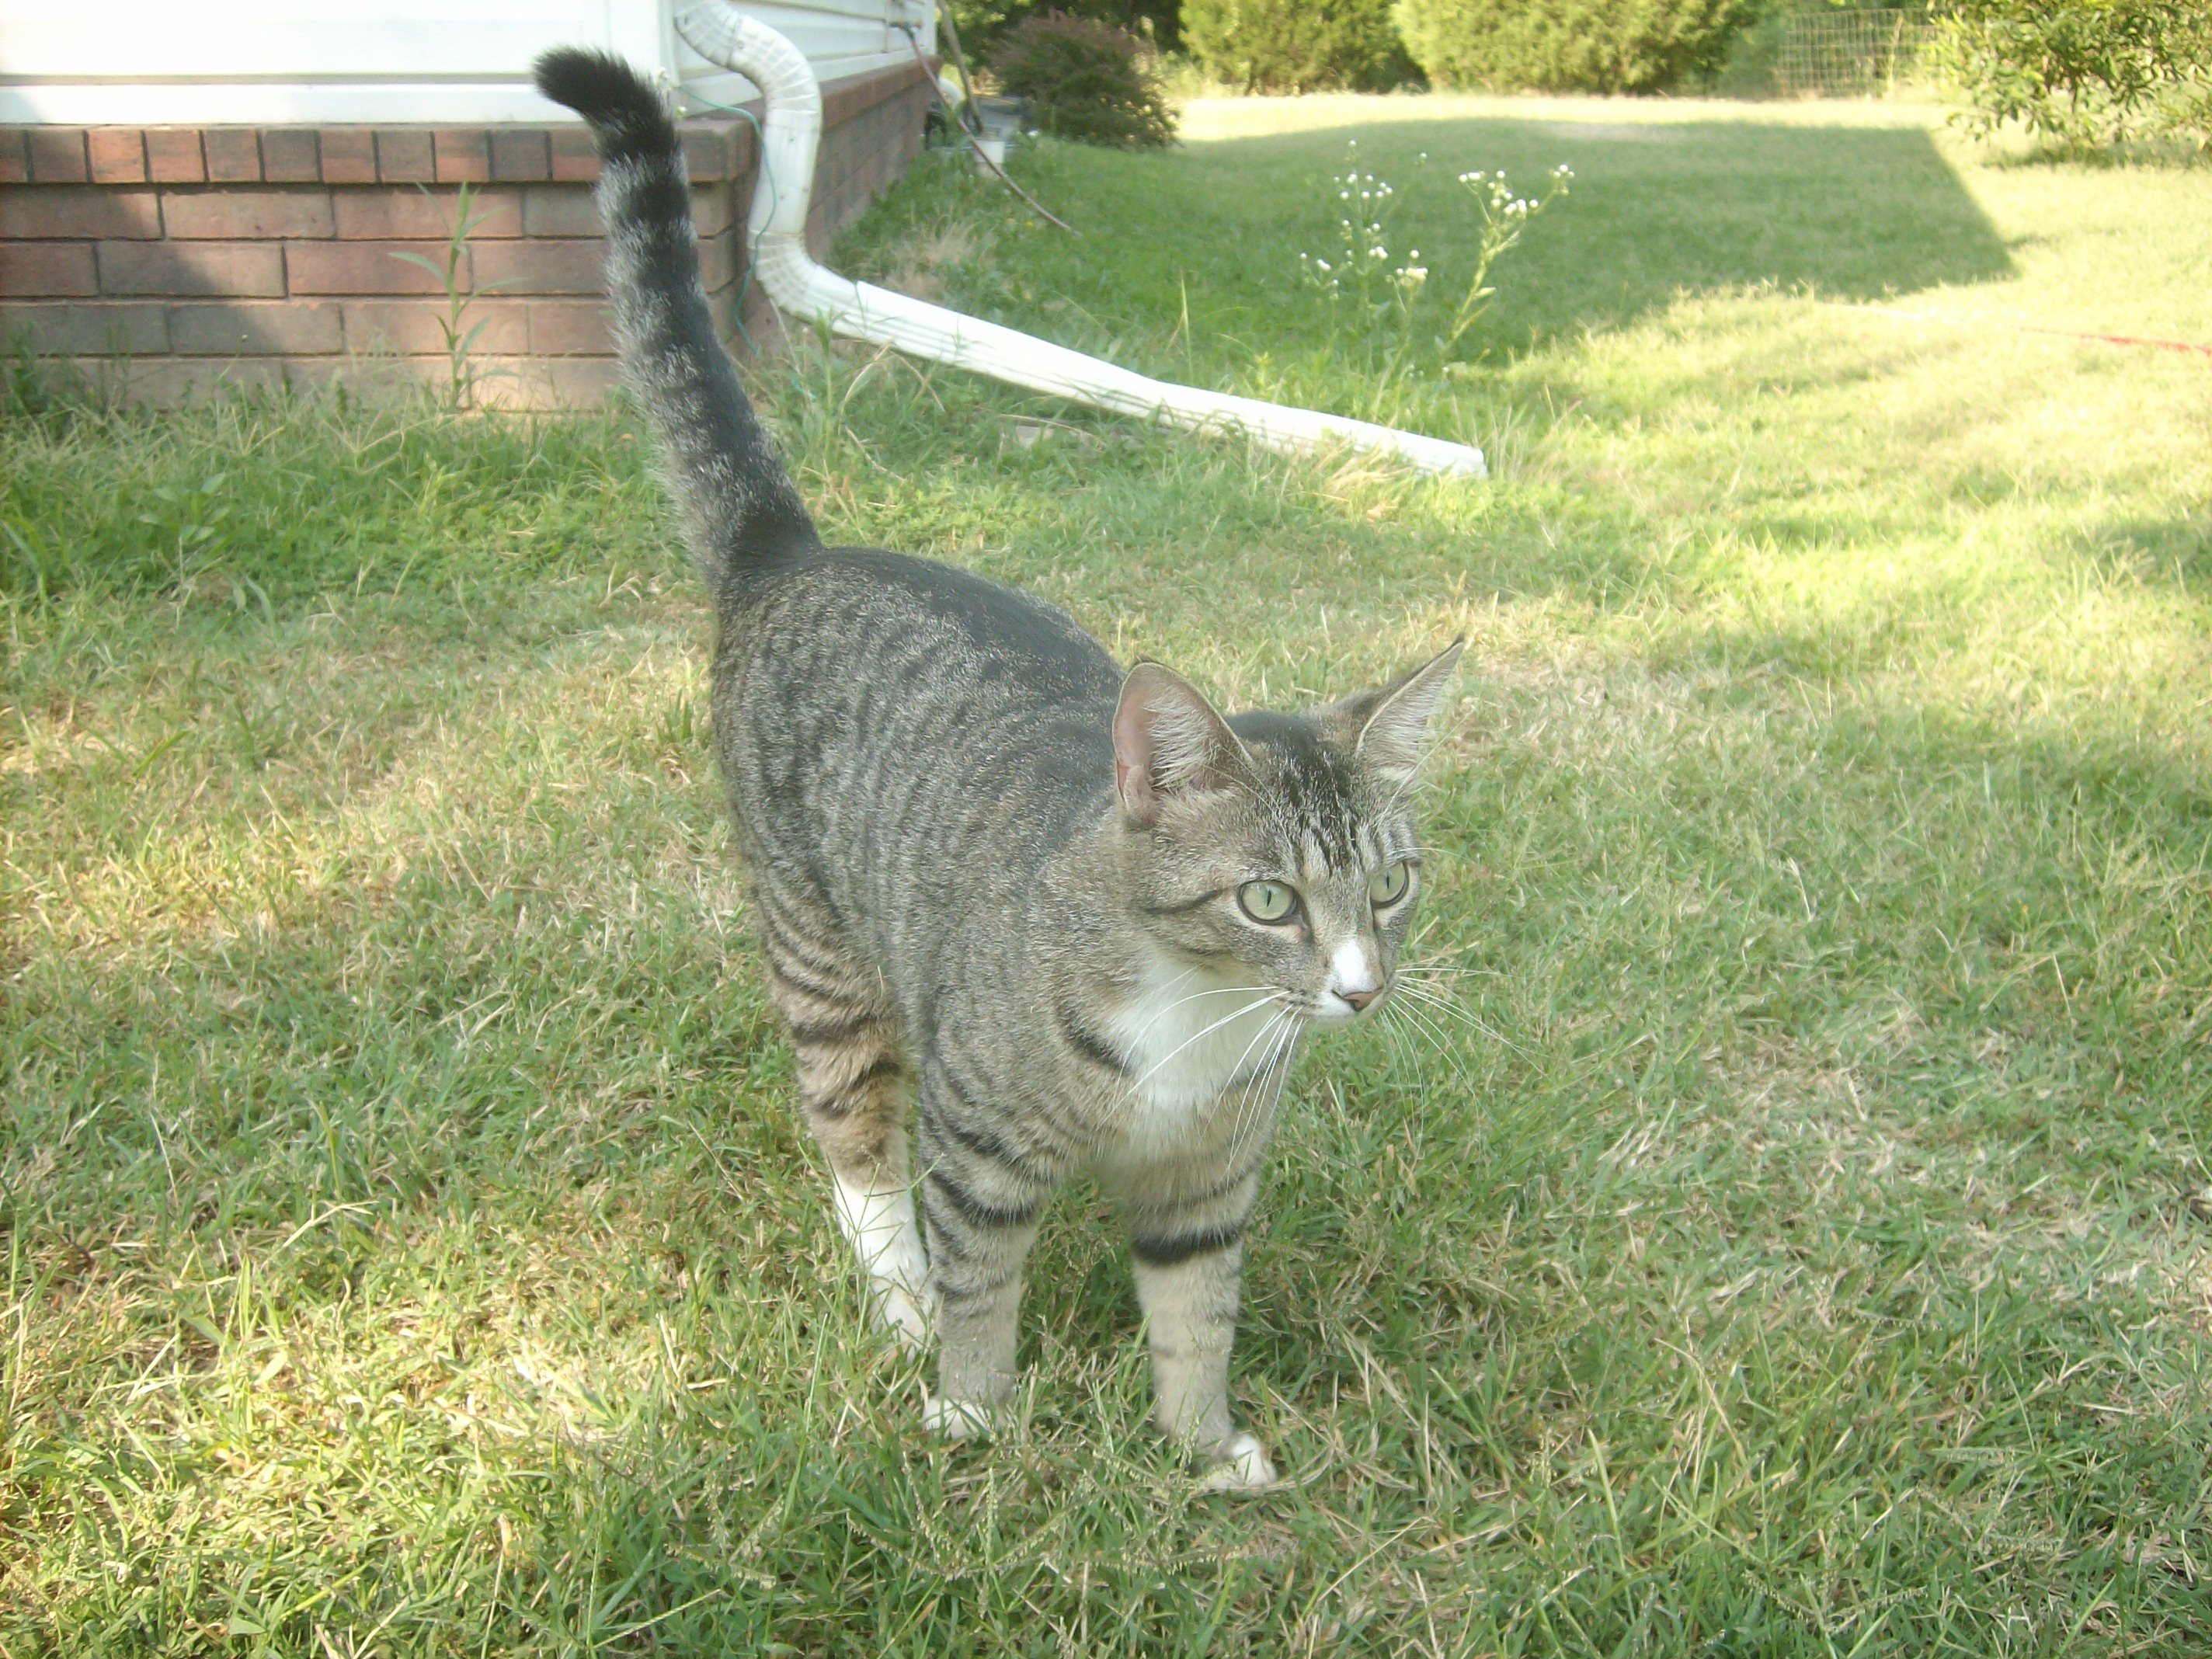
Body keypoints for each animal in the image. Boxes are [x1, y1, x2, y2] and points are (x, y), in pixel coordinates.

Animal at [533, 48, 1459, 1495]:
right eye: (1266, 900)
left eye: (1392, 886)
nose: (1364, 992)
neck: (1191, 1015)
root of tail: (793, 551)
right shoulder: (975, 1150)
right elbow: (982, 1288)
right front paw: (970, 1414)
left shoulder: (1208, 1184)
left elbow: (1196, 1315)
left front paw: (1204, 1450)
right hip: (819, 961)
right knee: (854, 1144)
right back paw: (896, 1299)